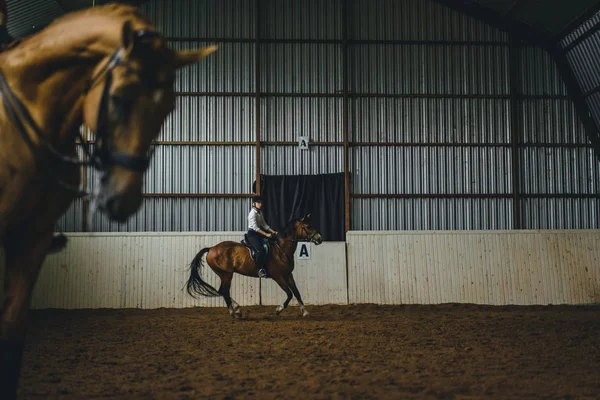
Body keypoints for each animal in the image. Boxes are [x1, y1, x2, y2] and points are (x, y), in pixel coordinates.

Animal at [186, 214, 324, 318]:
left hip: (225, 274)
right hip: (226, 274)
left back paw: (237, 309)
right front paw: (278, 309)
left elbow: (296, 292)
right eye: (308, 226)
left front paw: (305, 311)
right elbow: (289, 294)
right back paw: (234, 312)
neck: (282, 249)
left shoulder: (288, 274)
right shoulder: (278, 276)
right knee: (224, 291)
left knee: (223, 291)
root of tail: (211, 249)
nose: (319, 239)